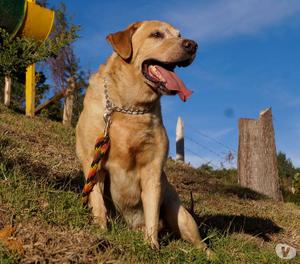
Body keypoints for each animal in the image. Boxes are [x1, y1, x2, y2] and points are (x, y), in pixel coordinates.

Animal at [76, 21, 214, 258]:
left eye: (180, 35)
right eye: (156, 34)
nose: (192, 45)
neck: (130, 107)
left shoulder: (153, 170)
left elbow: (151, 212)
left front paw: (151, 246)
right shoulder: (93, 162)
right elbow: (97, 201)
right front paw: (100, 231)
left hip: (179, 213)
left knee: (198, 241)